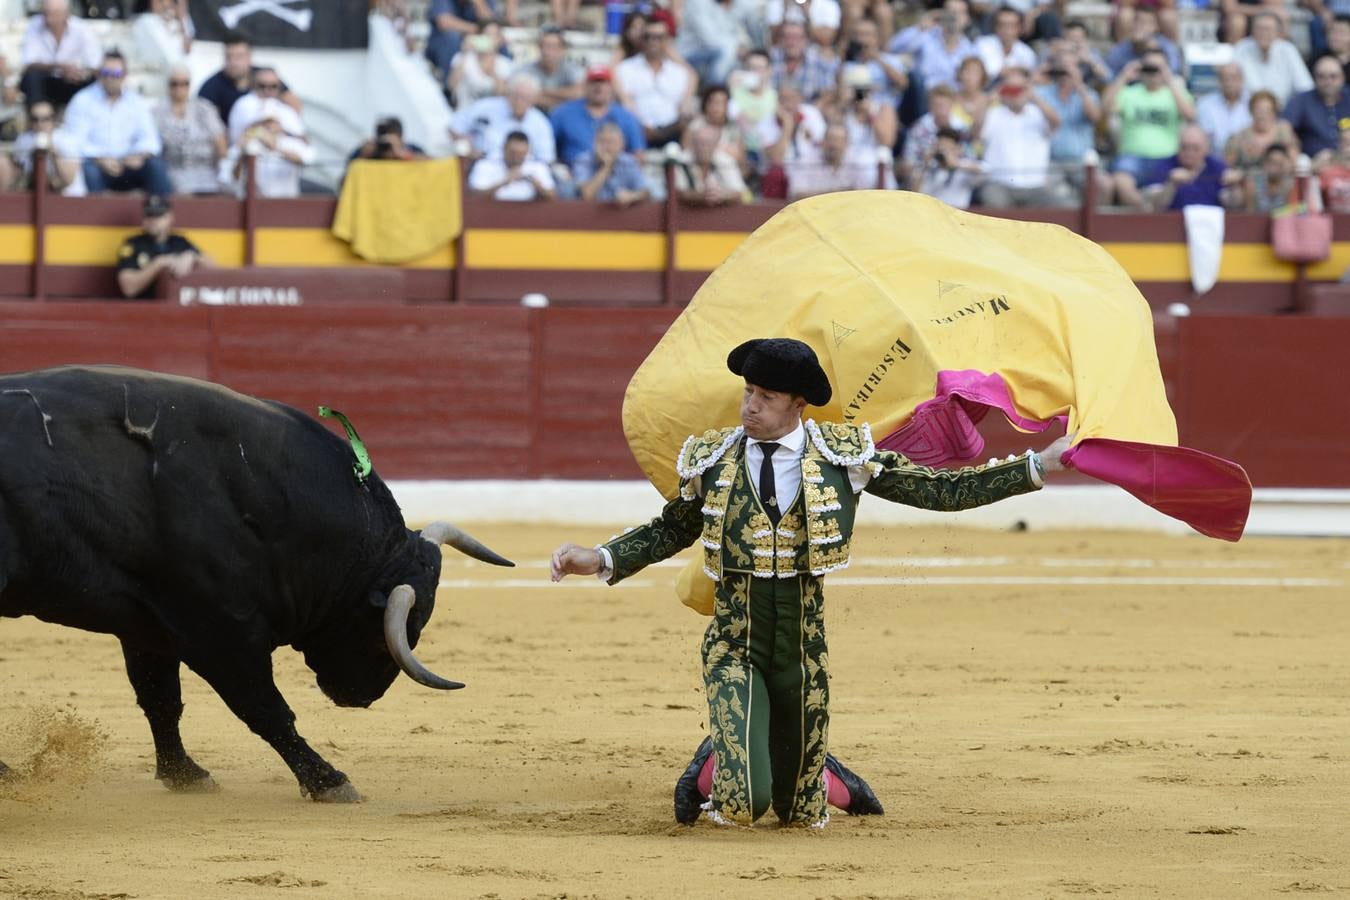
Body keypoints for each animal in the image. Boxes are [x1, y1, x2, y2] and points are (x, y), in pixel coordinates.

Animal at [0, 367, 513, 804]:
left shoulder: (147, 623)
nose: (364, 696)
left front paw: (185, 775)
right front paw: (329, 781)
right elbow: (264, 707)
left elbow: (160, 699)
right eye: (389, 631)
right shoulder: (219, 629)